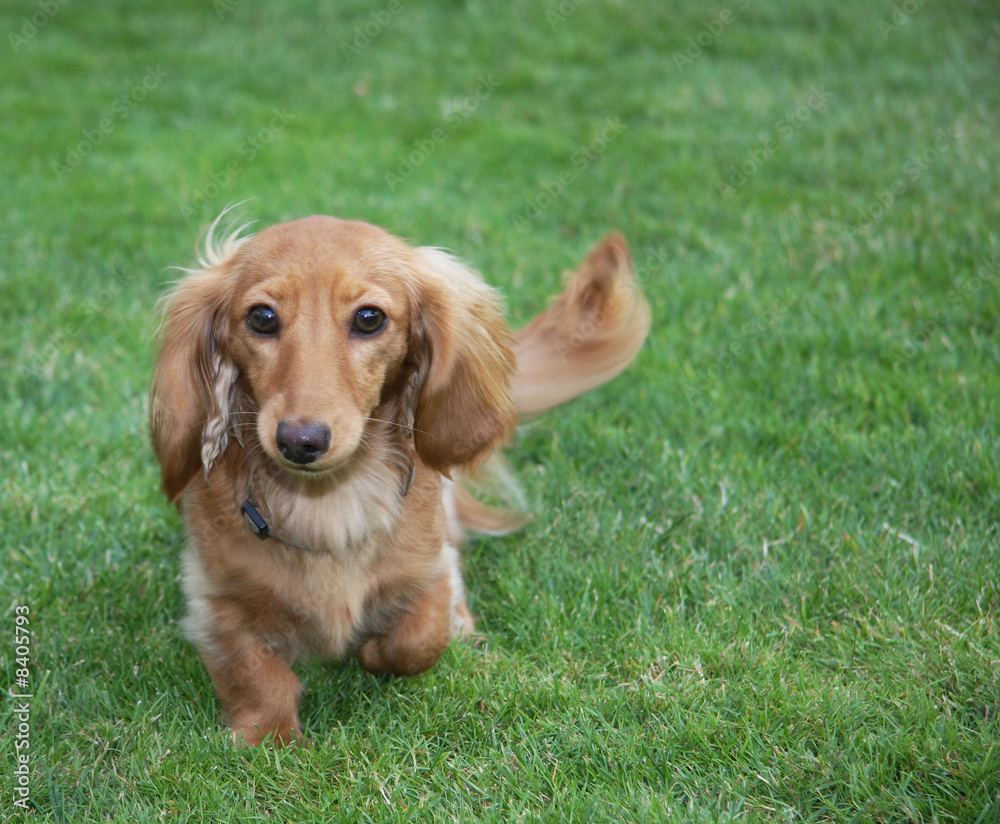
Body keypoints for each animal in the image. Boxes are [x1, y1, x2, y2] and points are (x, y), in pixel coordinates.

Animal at [148, 214, 648, 748]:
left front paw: (376, 650)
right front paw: (270, 737)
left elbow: (421, 638)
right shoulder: (216, 600)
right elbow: (253, 672)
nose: (300, 441)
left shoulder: (428, 567)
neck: (328, 505)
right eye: (262, 317)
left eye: (370, 318)